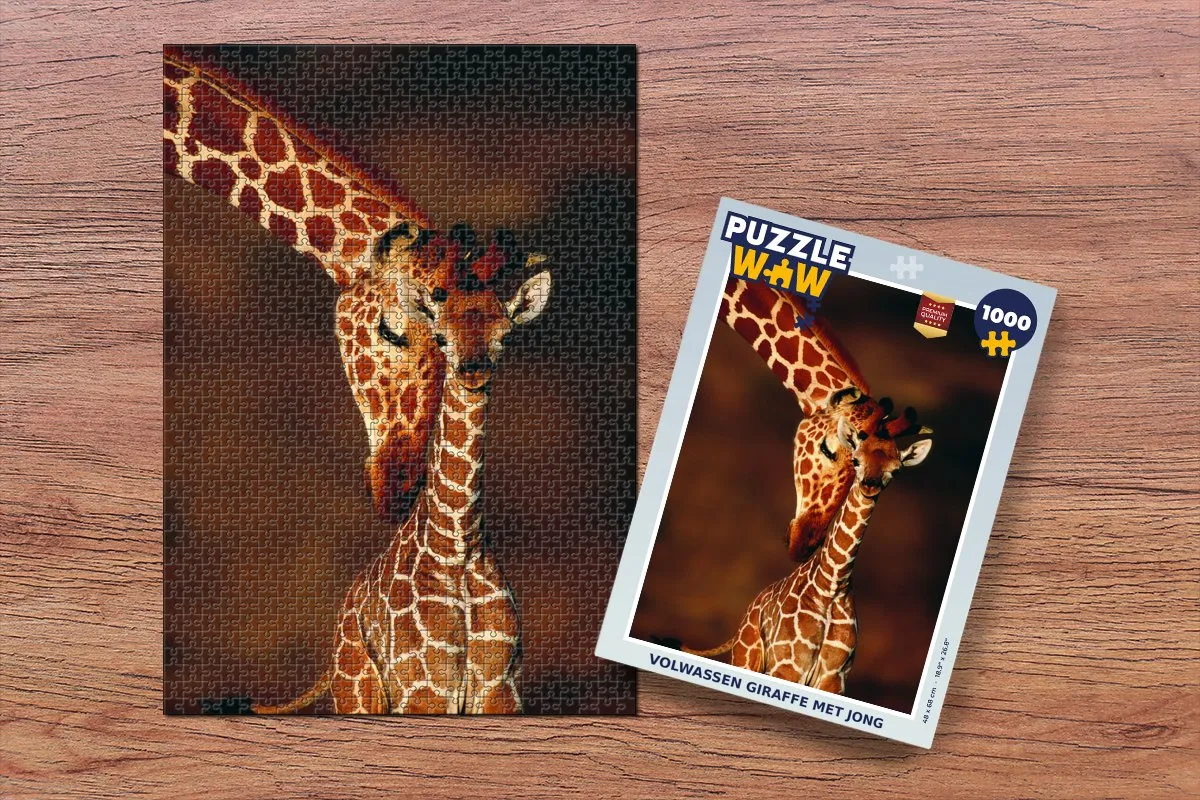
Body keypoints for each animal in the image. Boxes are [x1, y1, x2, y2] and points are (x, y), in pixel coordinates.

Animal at [252, 225, 552, 714]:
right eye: (442, 337)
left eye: (505, 335)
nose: (472, 370)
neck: (457, 546)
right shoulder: (423, 688)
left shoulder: (500, 688)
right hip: (359, 692)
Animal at [682, 389, 932, 693]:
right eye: (856, 460)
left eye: (895, 470)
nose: (870, 485)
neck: (831, 586)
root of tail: (746, 616)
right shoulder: (788, 667)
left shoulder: (834, 677)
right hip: (747, 658)